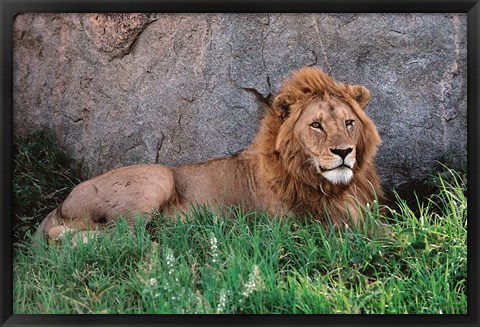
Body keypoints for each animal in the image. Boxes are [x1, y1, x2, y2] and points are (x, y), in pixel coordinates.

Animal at [33, 66, 384, 242]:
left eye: (349, 123)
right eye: (316, 125)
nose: (343, 151)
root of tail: (59, 205)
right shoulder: (298, 227)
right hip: (157, 176)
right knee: (121, 238)